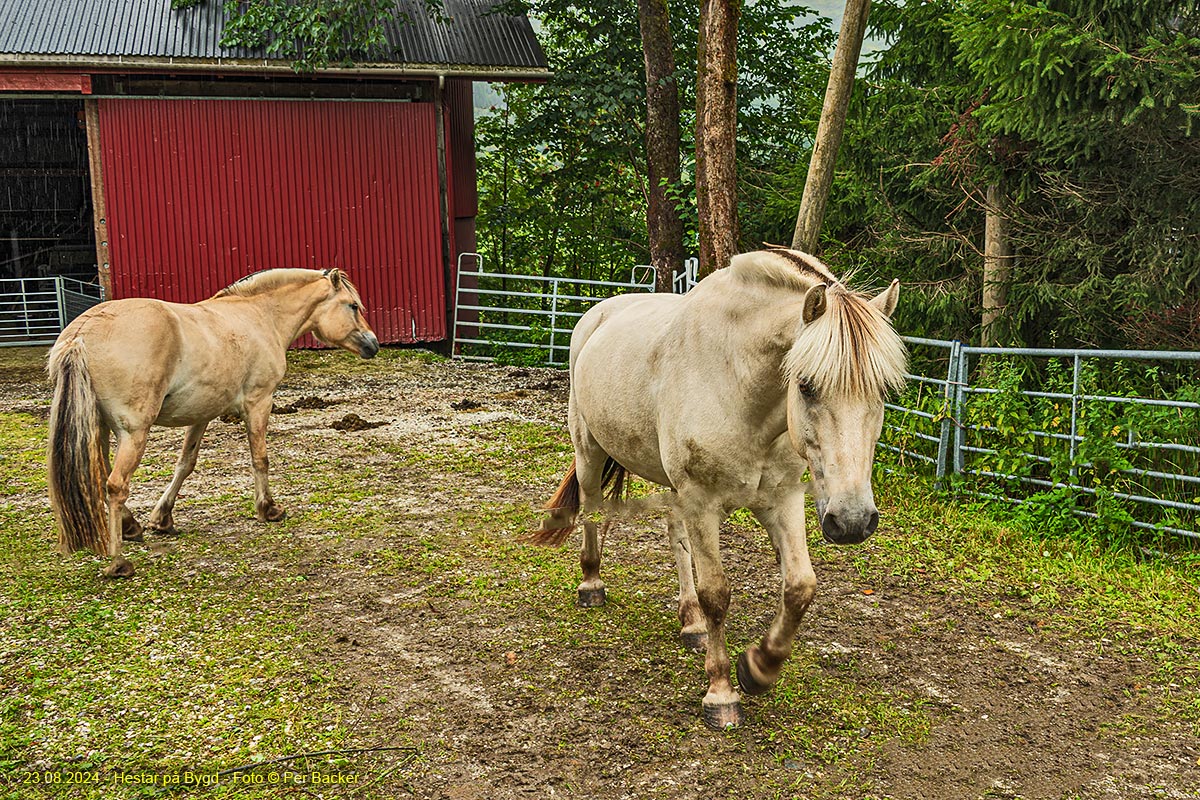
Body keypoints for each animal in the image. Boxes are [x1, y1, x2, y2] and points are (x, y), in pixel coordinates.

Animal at [48, 268, 374, 575]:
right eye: (353, 306)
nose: (373, 345)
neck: (260, 316)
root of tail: (81, 334)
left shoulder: (201, 415)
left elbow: (185, 464)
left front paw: (162, 518)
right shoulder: (260, 403)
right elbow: (260, 458)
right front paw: (268, 509)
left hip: (99, 429)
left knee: (102, 477)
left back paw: (131, 527)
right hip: (133, 432)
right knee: (116, 485)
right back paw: (118, 562)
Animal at [530, 250, 902, 734]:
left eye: (883, 391)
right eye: (806, 385)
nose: (854, 520)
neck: (737, 384)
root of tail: (597, 315)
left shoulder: (783, 499)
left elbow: (800, 586)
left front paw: (758, 667)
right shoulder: (703, 503)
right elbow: (718, 594)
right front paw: (721, 692)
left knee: (674, 536)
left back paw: (691, 624)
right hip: (589, 449)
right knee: (593, 511)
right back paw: (592, 584)